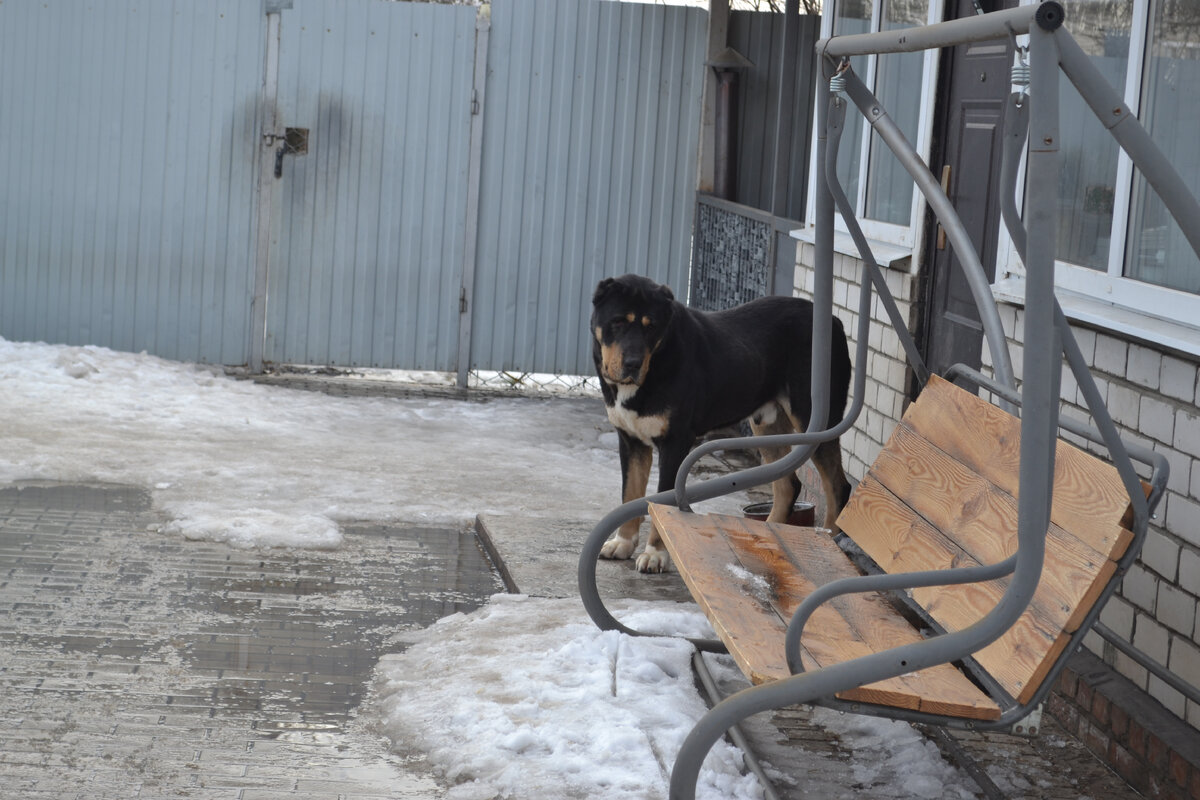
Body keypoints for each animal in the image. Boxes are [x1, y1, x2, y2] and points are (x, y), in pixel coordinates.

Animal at [590, 275, 854, 575]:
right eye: (618, 322)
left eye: (651, 327)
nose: (633, 363)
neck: (657, 360)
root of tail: (834, 321)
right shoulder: (631, 441)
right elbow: (630, 493)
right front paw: (622, 542)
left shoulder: (675, 443)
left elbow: (660, 501)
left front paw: (656, 554)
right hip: (767, 424)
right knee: (788, 486)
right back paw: (766, 536)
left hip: (815, 420)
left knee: (837, 488)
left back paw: (829, 540)